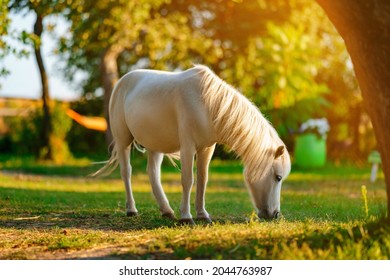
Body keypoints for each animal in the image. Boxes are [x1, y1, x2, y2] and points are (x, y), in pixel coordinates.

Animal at [93, 64, 290, 224]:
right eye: (278, 177)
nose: (275, 214)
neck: (208, 103)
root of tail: (121, 82)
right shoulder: (188, 147)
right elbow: (188, 180)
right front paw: (186, 217)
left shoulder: (207, 148)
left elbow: (203, 179)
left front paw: (202, 215)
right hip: (123, 140)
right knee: (126, 172)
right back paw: (132, 210)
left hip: (155, 144)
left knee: (153, 174)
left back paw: (167, 211)